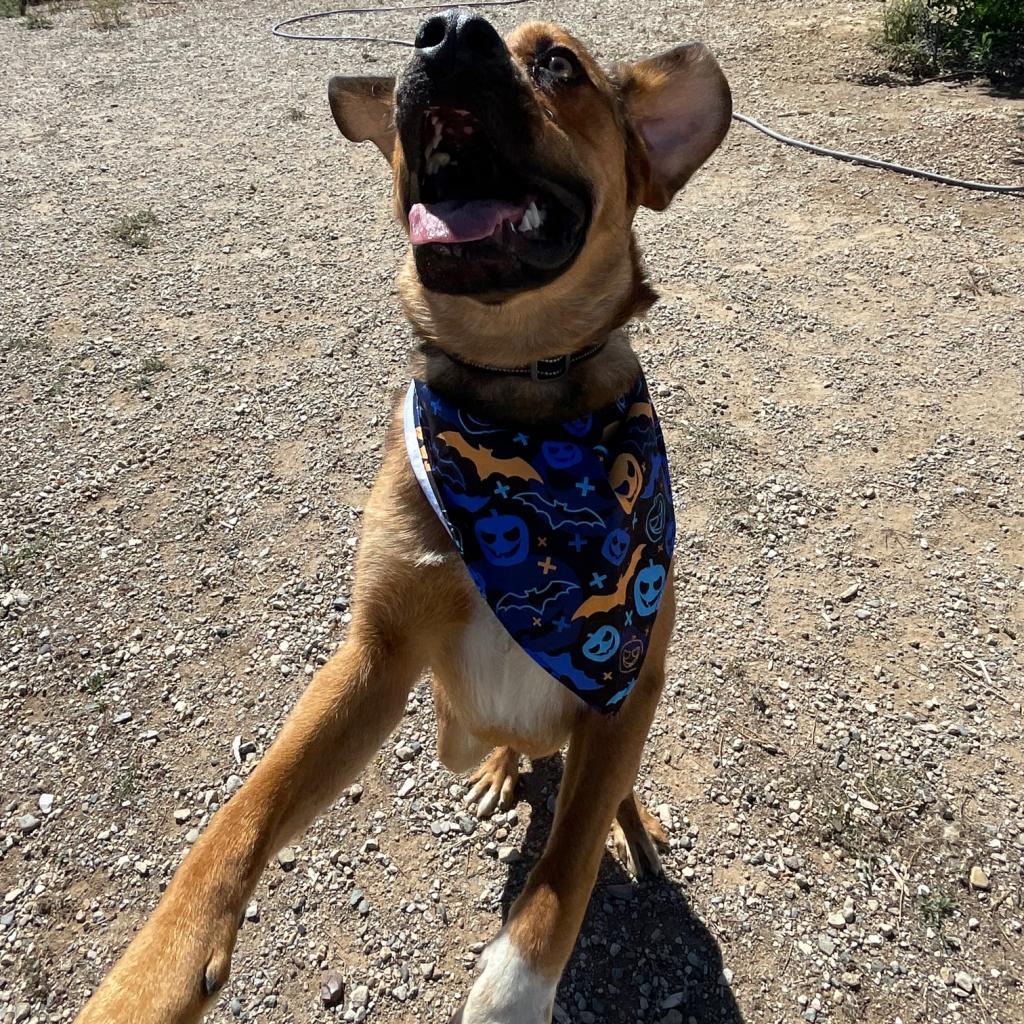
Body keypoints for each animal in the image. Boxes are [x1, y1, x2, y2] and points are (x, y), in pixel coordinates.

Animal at [72, 16, 729, 1024]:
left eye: (560, 65)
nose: (448, 31)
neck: (519, 403)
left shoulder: (625, 678)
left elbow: (567, 864)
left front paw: (513, 989)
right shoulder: (375, 658)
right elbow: (243, 810)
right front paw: (152, 975)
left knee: (601, 793)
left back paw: (634, 825)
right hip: (454, 728)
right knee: (502, 745)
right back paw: (502, 772)